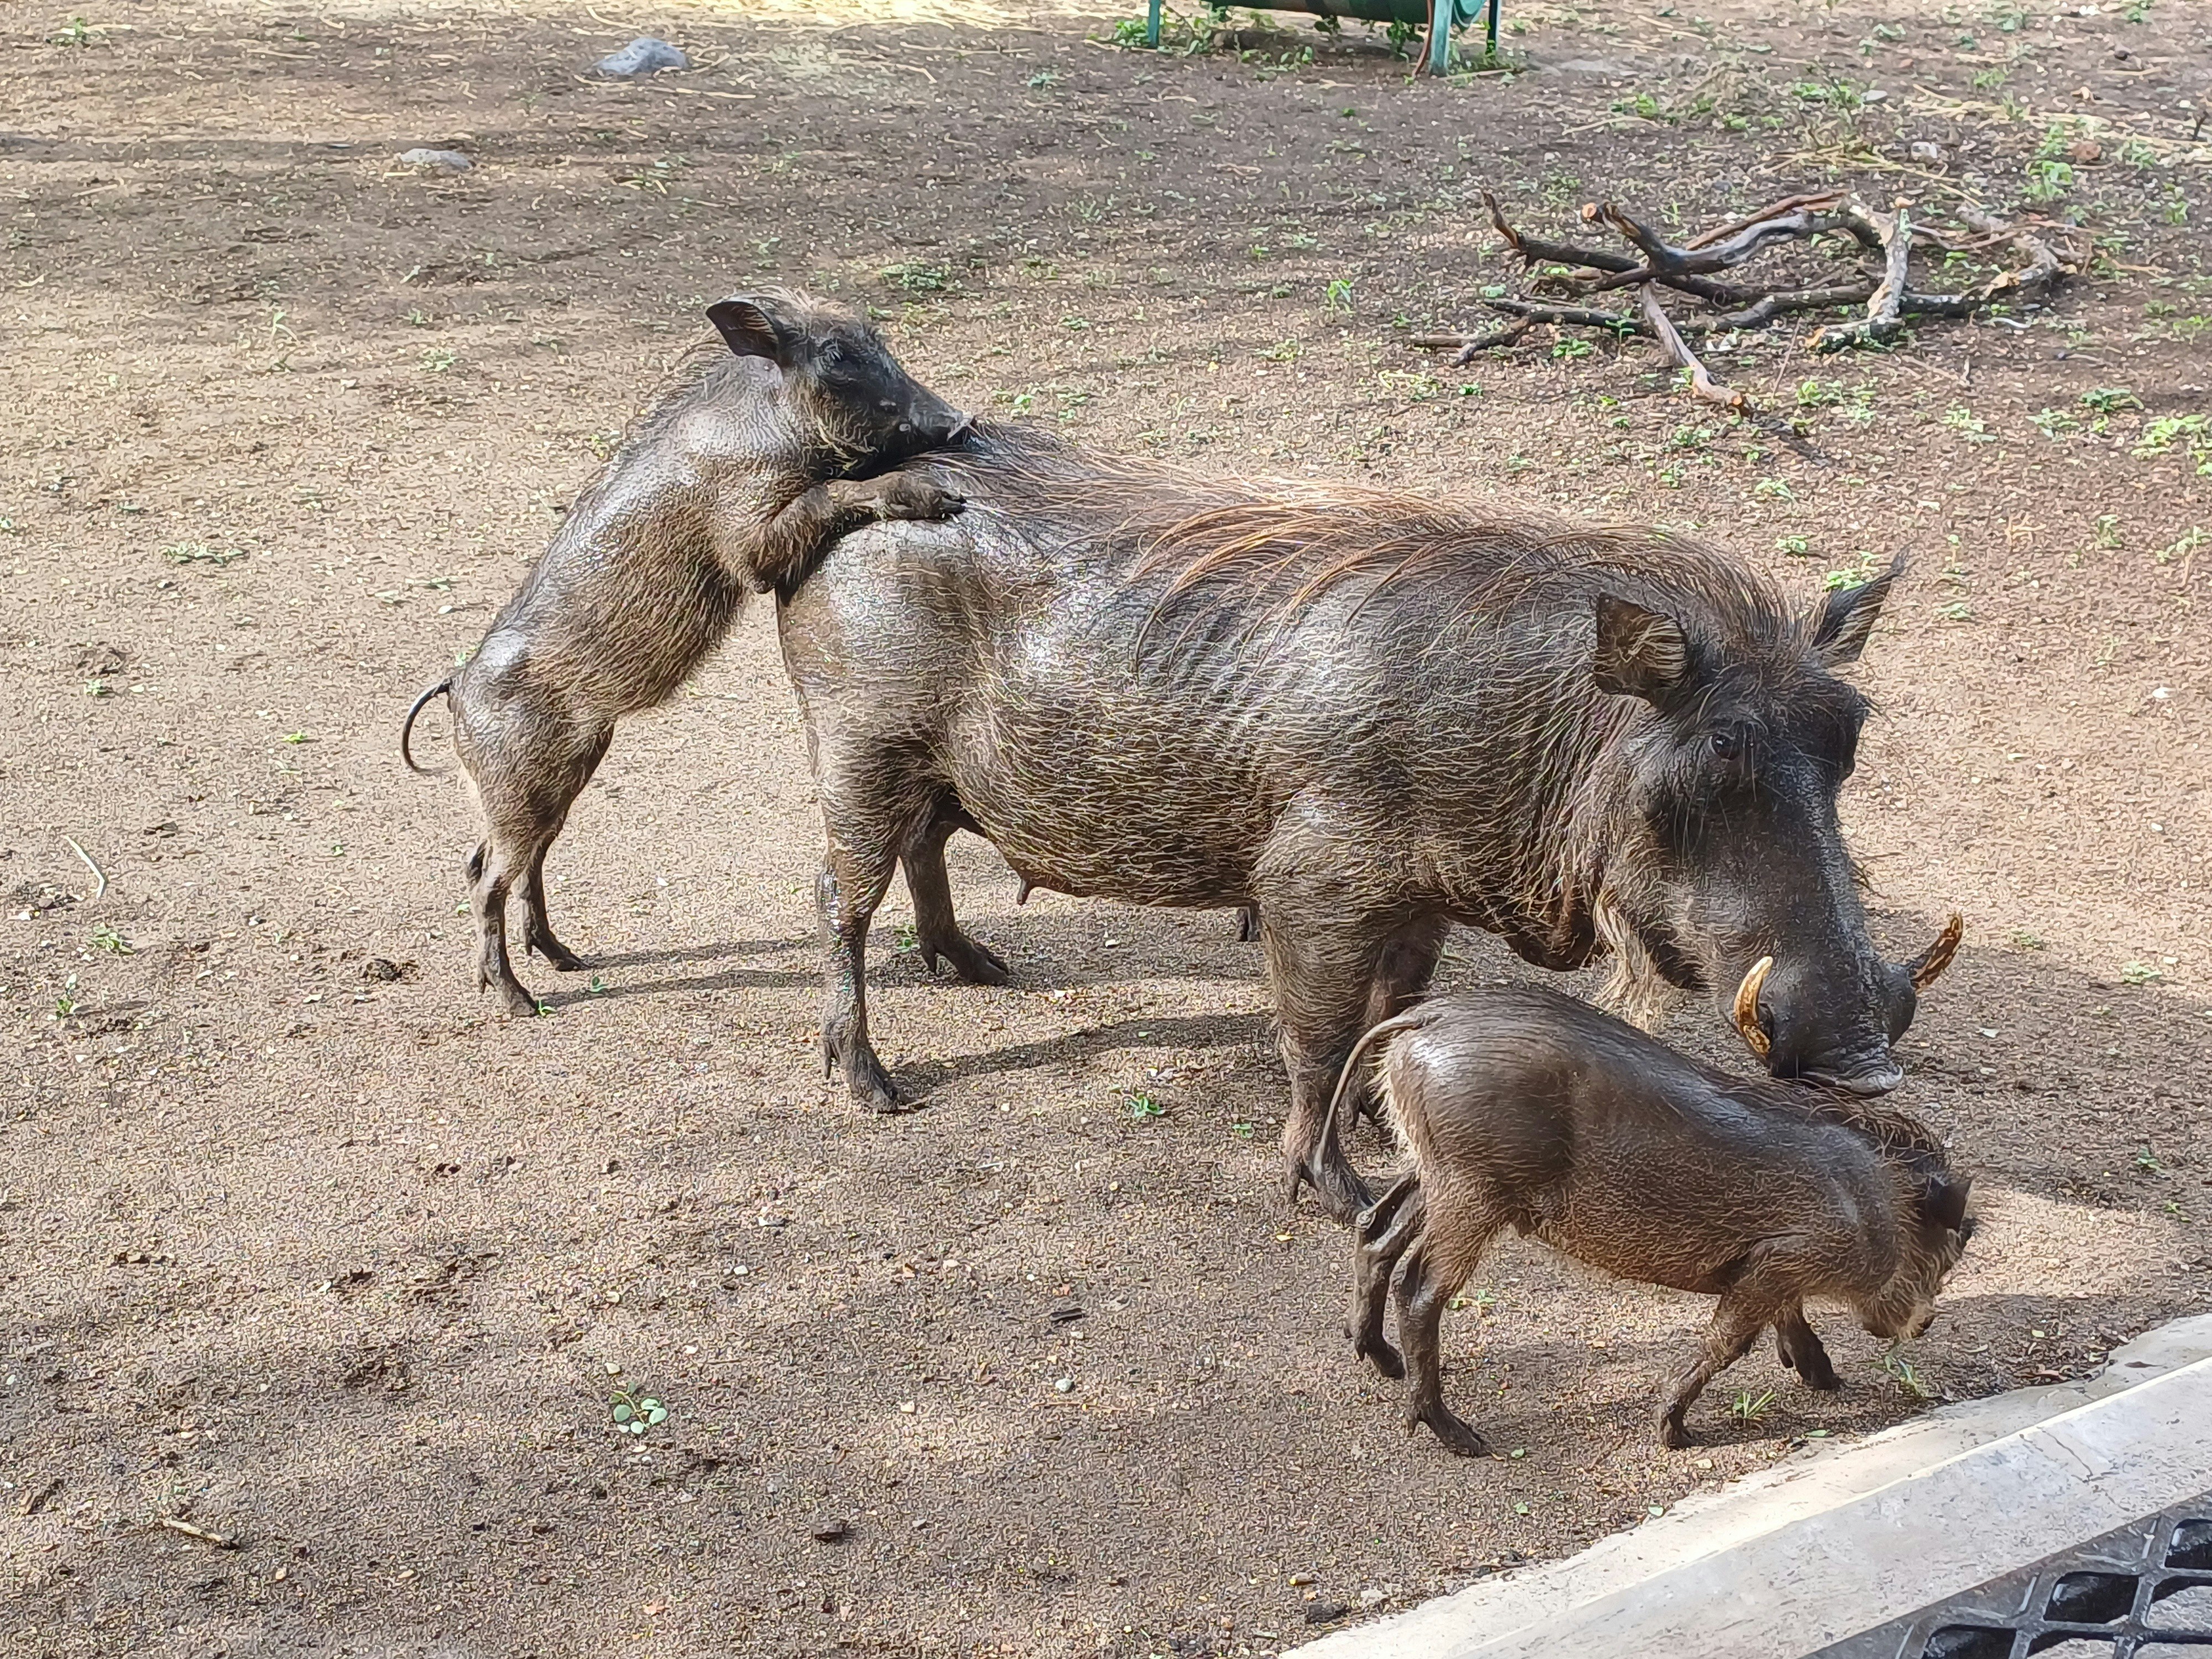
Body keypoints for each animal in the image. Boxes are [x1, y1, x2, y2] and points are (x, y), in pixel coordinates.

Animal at [400, 289, 971, 1015]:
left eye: (879, 339)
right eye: (837, 356)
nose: (961, 422)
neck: (769, 423)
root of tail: (454, 686)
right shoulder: (750, 544)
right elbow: (829, 494)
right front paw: (933, 497)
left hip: (556, 783)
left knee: (502, 862)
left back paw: (565, 959)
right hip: (523, 787)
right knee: (487, 878)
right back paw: (517, 1000)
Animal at [773, 423, 1961, 1219]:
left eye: (1847, 739)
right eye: (1713, 756)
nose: (1866, 1063)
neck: (1546, 726)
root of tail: (836, 505)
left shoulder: (1422, 896)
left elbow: (1395, 1010)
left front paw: (1387, 1120)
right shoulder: (1314, 889)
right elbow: (1317, 1037)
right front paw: (1337, 1190)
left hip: (933, 775)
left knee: (926, 855)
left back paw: (973, 965)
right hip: (859, 751)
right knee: (838, 901)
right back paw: (868, 1083)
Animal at [1328, 978, 1974, 1454]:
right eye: (1945, 1247)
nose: (1926, 1324)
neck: (1877, 1200)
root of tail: (1428, 1017)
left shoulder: (1774, 1266)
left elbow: (1789, 1324)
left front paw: (1827, 1379)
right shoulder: (1777, 1265)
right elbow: (1726, 1343)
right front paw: (1674, 1432)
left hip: (1432, 1173)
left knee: (1375, 1234)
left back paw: (1380, 1360)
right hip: (1471, 1194)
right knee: (1420, 1292)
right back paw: (1456, 1435)